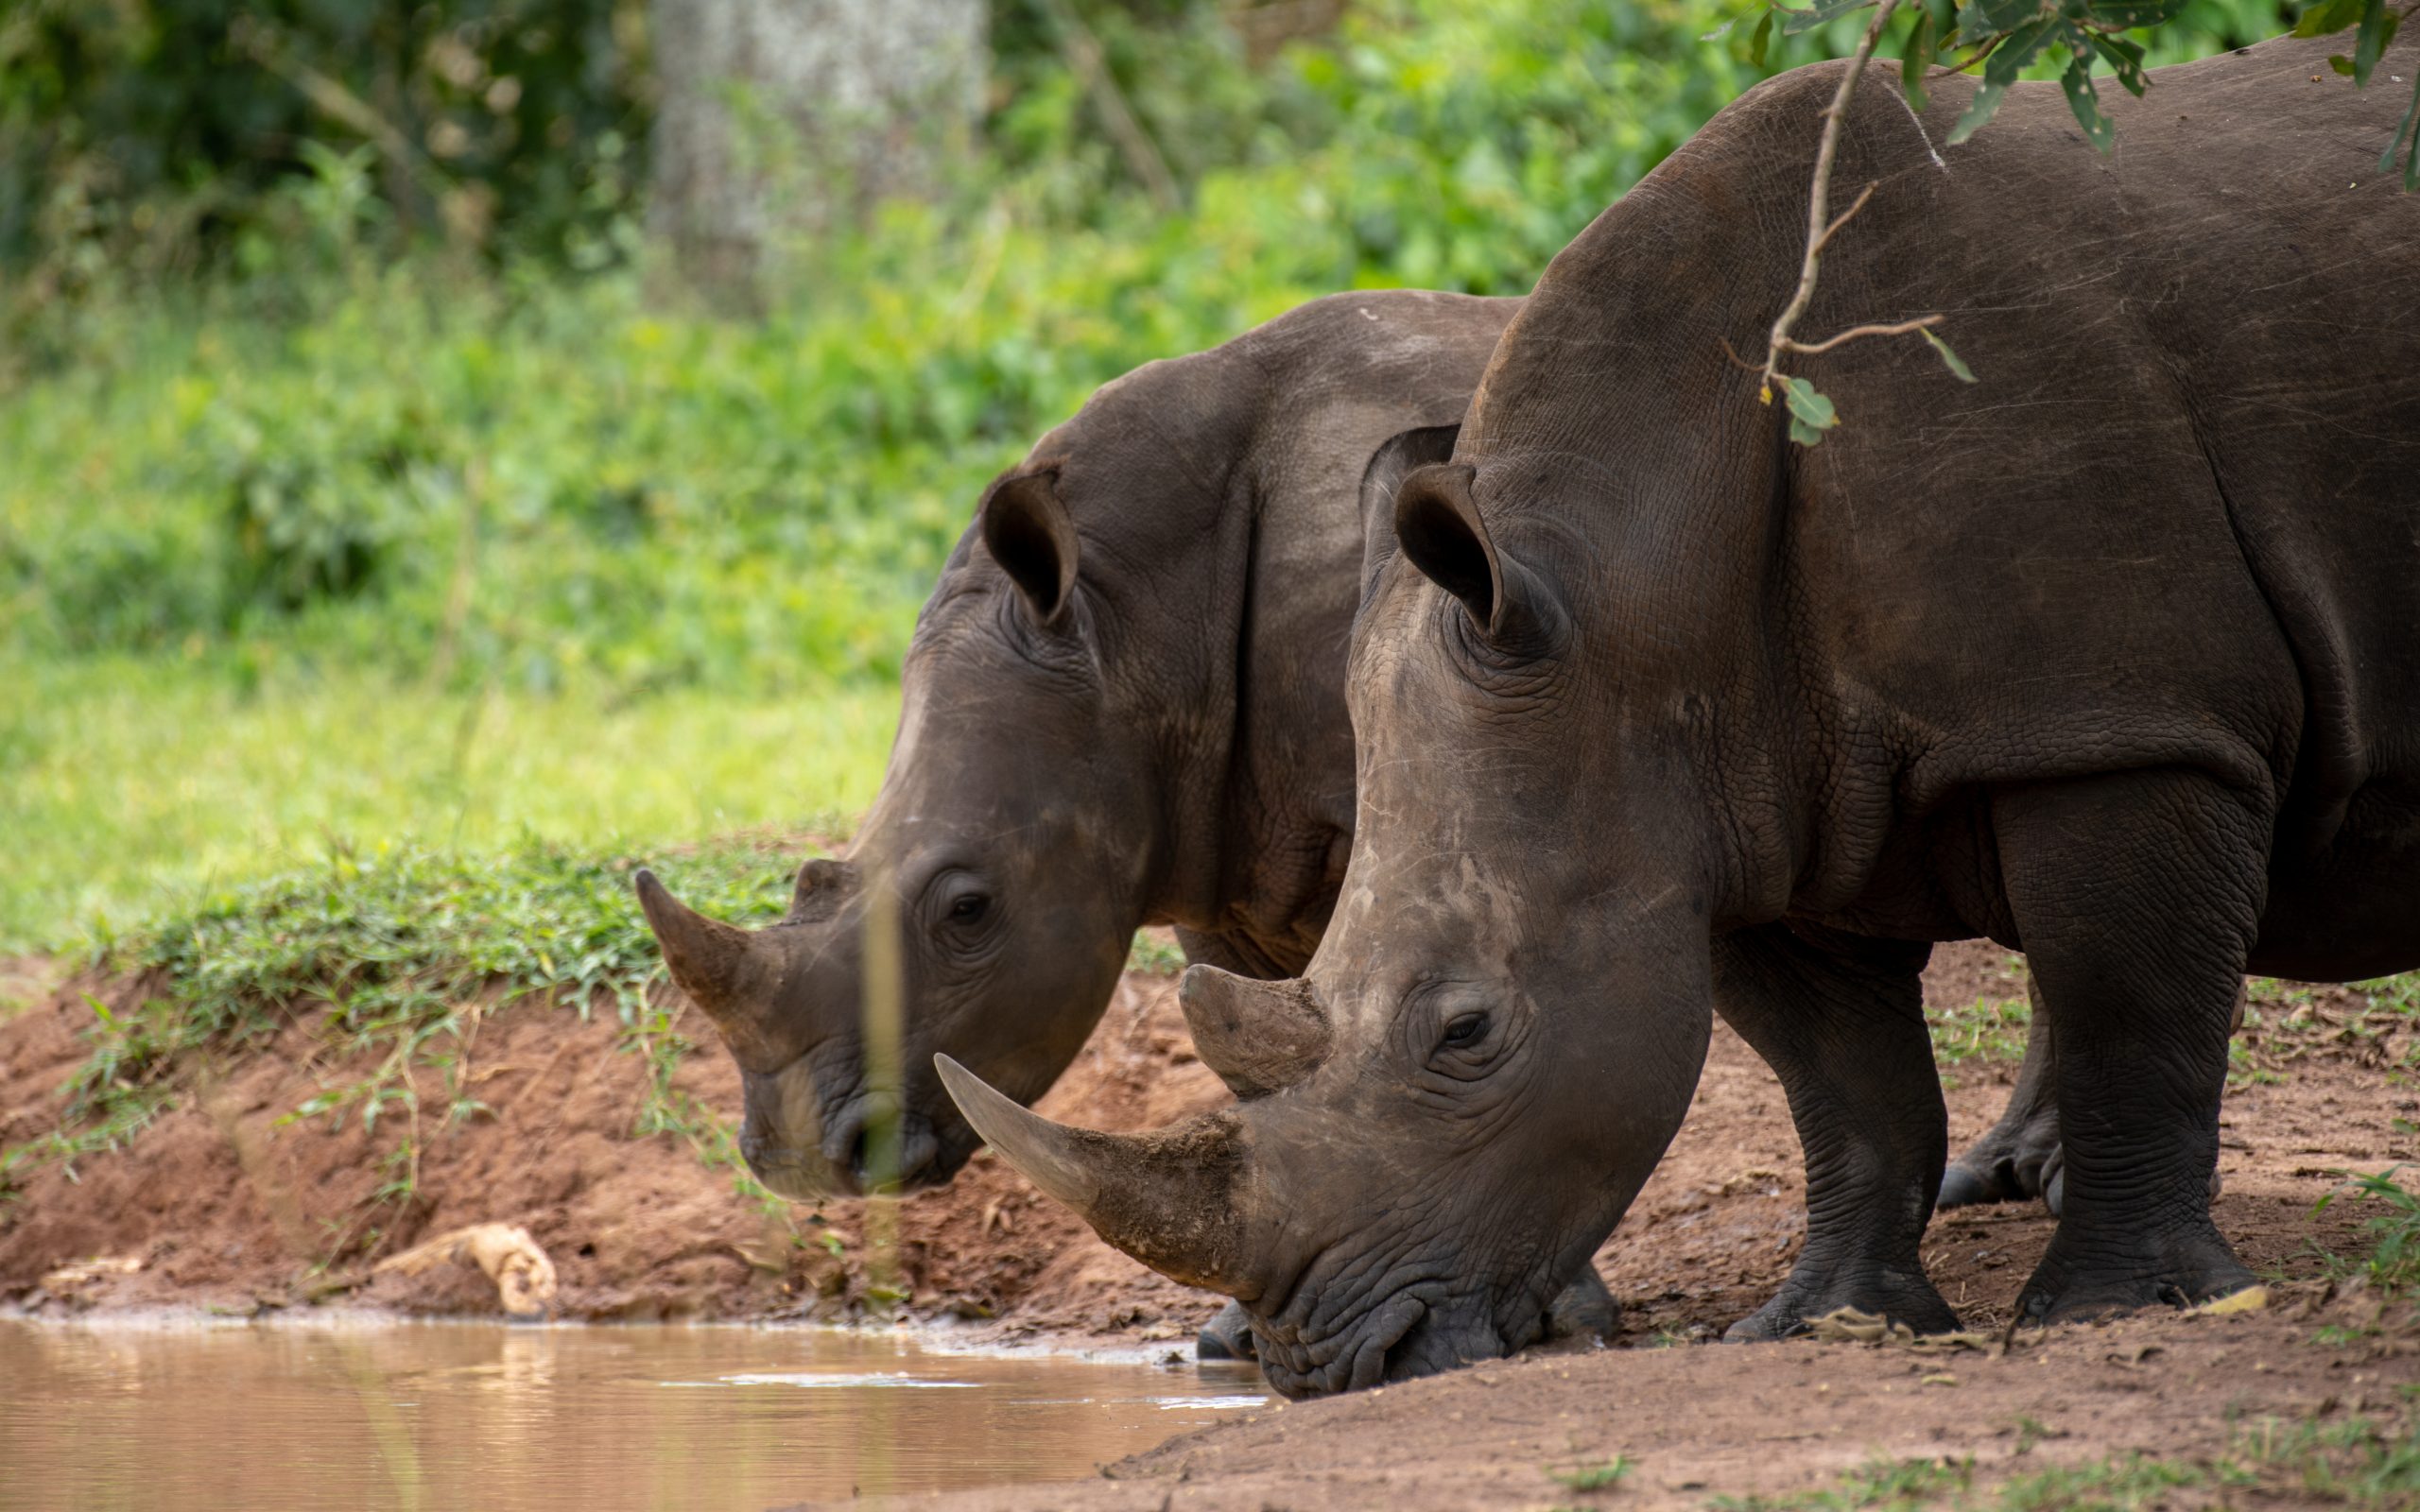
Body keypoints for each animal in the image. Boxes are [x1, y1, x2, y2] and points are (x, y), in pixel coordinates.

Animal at [632, 289, 1616, 1350]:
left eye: (968, 910)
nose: (804, 1160)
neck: (1134, 624)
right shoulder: (1220, 835)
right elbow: (1270, 1037)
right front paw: (1236, 1339)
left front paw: (1557, 1314)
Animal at [938, 36, 2420, 1397]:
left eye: (1467, 1033)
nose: (1327, 1362)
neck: (1634, 575)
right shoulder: (1736, 794)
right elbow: (1848, 1083)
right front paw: (1824, 1323)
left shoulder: (2118, 721)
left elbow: (2134, 1013)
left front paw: (2113, 1312)